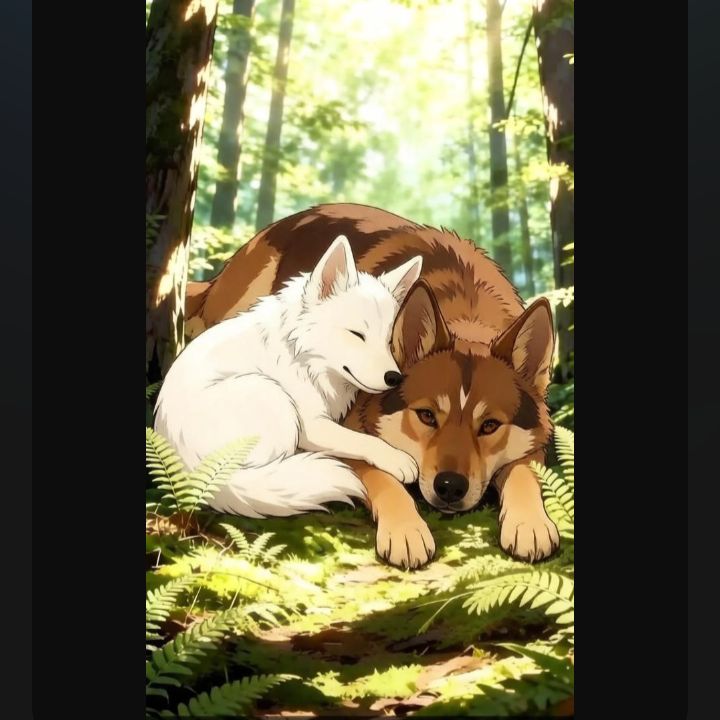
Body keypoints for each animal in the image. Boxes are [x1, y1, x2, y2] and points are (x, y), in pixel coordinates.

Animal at [155, 234, 423, 518]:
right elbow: (361, 439)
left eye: (389, 343)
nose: (394, 378)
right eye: (357, 334)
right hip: (270, 394)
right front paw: (397, 458)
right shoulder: (312, 426)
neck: (303, 356)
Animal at [183, 203, 560, 567]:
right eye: (426, 416)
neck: (465, 313)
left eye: (490, 425)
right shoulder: (346, 428)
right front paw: (406, 530)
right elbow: (382, 475)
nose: (450, 487)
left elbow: (524, 472)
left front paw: (531, 522)